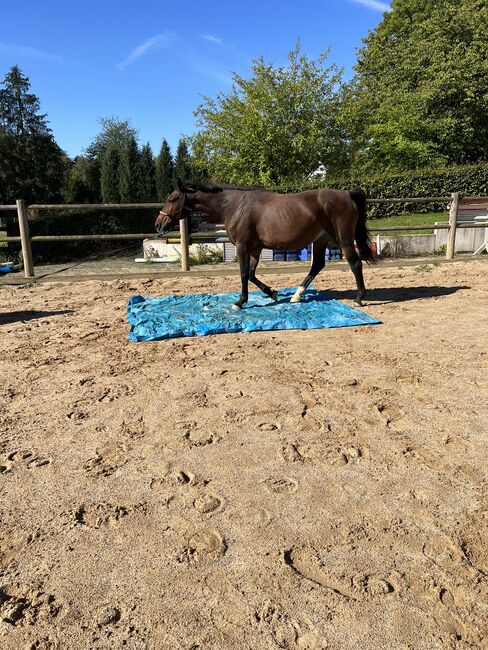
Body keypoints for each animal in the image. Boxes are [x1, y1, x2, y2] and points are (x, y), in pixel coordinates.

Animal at [155, 177, 378, 308]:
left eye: (172, 198)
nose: (158, 224)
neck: (234, 206)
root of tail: (347, 194)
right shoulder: (255, 247)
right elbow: (252, 274)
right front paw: (273, 294)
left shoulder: (243, 246)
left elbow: (244, 274)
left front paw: (240, 302)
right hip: (320, 240)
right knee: (317, 265)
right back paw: (296, 296)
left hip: (344, 239)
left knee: (355, 263)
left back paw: (359, 298)